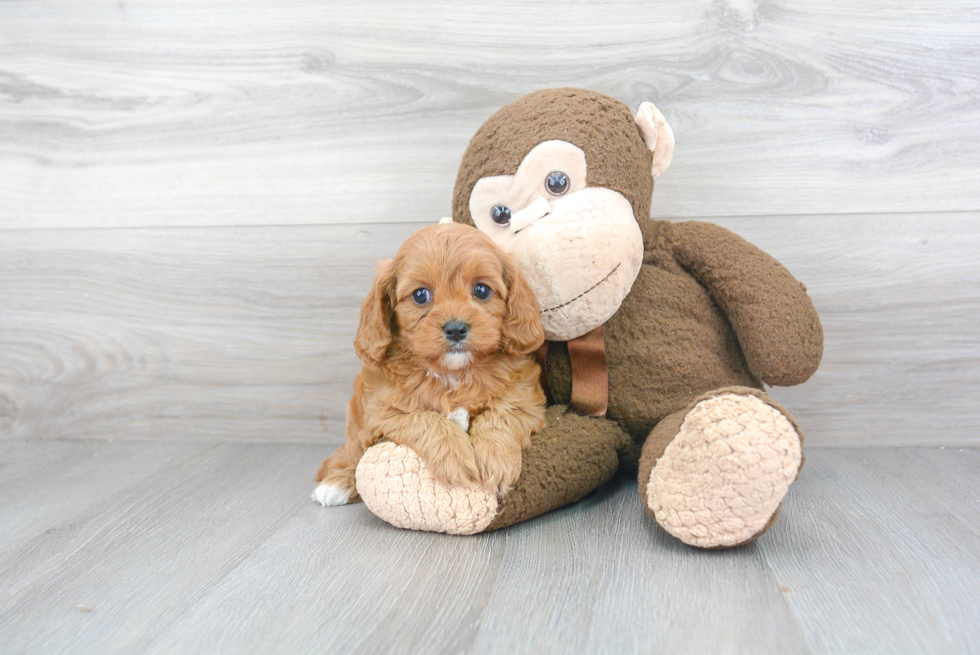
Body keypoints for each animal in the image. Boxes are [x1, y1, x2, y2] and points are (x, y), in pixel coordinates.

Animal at [312, 222, 548, 508]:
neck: (453, 374)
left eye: (482, 290)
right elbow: (427, 419)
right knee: (352, 451)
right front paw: (456, 458)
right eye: (420, 295)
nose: (456, 329)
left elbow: (499, 416)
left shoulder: (524, 399)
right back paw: (336, 483)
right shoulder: (385, 414)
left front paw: (495, 458)